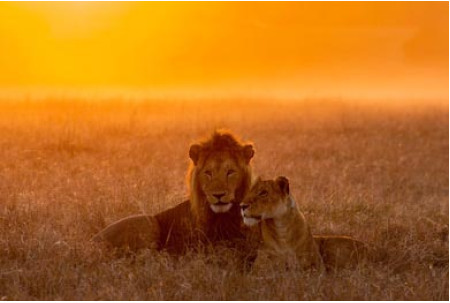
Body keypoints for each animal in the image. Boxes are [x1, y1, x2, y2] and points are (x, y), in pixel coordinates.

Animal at [91, 132, 258, 258]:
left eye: (230, 172)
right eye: (208, 173)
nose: (218, 195)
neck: (224, 216)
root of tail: (91, 243)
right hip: (148, 222)